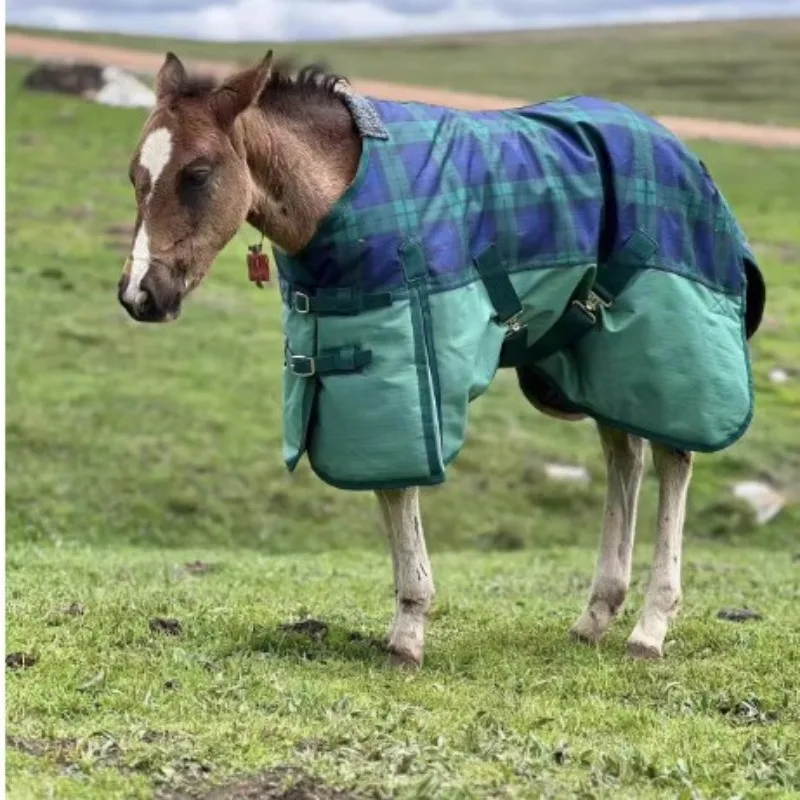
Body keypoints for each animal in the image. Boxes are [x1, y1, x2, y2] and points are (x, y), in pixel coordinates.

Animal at [117, 51, 765, 668]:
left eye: (198, 173)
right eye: (135, 174)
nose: (140, 295)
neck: (343, 189)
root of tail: (677, 145)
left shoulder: (407, 358)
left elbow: (401, 489)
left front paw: (408, 632)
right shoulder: (354, 371)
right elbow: (385, 486)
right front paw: (404, 623)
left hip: (663, 344)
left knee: (673, 456)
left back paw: (651, 626)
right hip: (601, 357)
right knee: (624, 453)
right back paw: (596, 615)